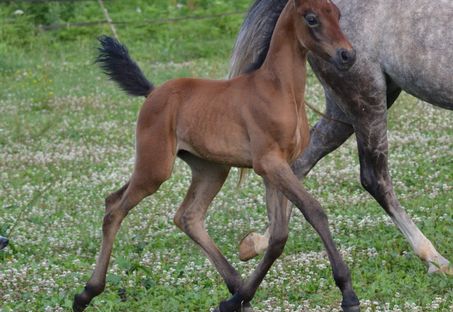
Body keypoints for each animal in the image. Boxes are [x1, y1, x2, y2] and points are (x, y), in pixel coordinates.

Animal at [73, 0, 356, 312]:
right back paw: (86, 293)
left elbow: (279, 236)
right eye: (311, 18)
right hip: (155, 167)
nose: (347, 55)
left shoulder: (280, 167)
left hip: (210, 169)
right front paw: (348, 293)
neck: (280, 90)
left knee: (186, 216)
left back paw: (235, 290)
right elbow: (313, 211)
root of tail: (152, 92)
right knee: (115, 209)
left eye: (338, 14)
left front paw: (239, 297)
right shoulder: (269, 163)